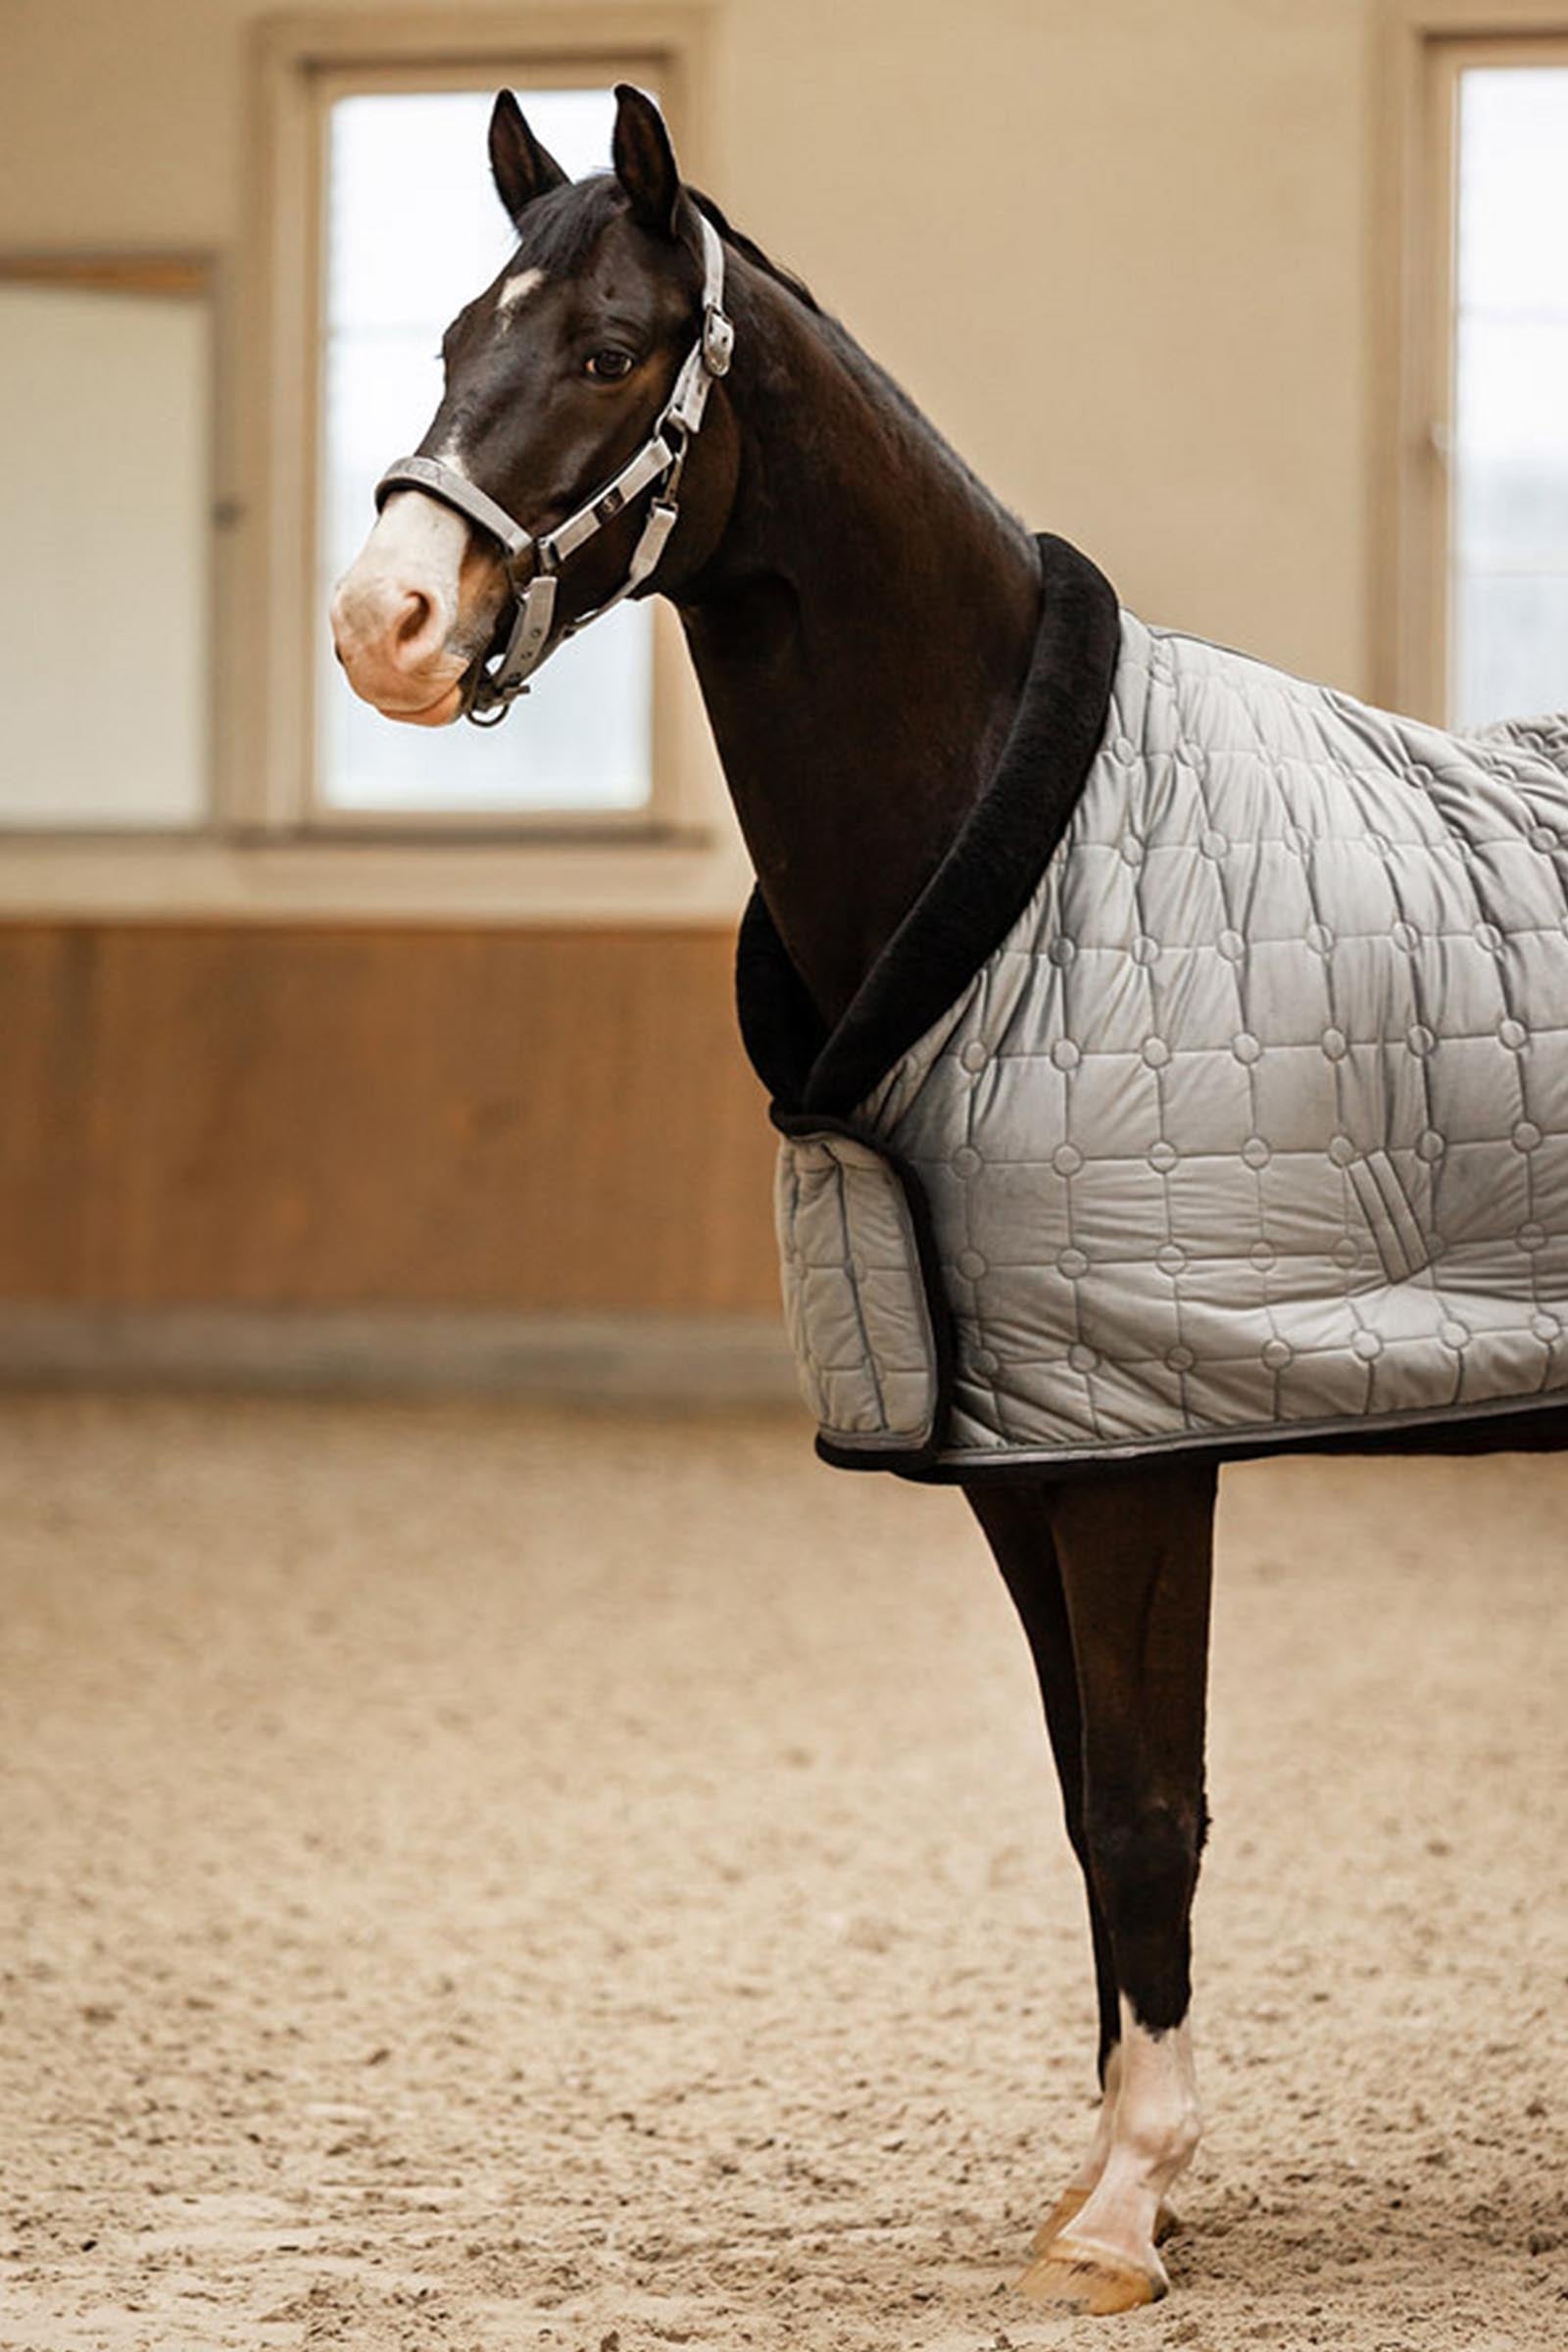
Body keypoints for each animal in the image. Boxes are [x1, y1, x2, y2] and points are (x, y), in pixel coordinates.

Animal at [329, 85, 1568, 2317]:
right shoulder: (1022, 1449)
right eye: (455, 332)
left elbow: (1151, 1806)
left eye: (610, 349)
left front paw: (1124, 2211)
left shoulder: (1146, 1442)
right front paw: (1117, 2169)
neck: (1044, 855)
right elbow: (1084, 1805)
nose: (378, 626)